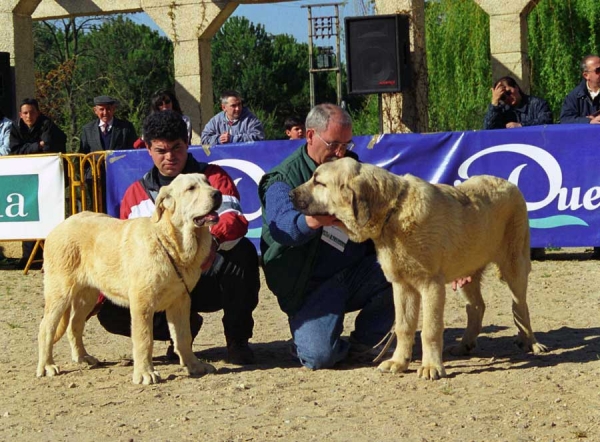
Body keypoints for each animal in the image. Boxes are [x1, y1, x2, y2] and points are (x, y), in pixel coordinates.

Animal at [37, 173, 221, 384]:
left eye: (208, 182)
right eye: (191, 188)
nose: (217, 194)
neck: (172, 244)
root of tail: (60, 225)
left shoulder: (180, 300)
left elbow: (183, 337)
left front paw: (194, 365)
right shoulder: (142, 303)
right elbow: (144, 339)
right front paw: (145, 373)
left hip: (87, 296)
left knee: (74, 325)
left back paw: (83, 357)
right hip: (60, 293)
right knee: (46, 328)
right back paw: (47, 365)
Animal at [290, 157, 548, 378]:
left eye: (318, 181)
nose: (290, 194)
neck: (393, 214)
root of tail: (509, 183)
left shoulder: (431, 285)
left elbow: (429, 329)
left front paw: (431, 366)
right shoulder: (402, 286)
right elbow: (404, 327)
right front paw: (399, 362)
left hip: (515, 266)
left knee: (520, 307)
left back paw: (531, 343)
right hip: (468, 269)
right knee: (477, 307)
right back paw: (465, 344)